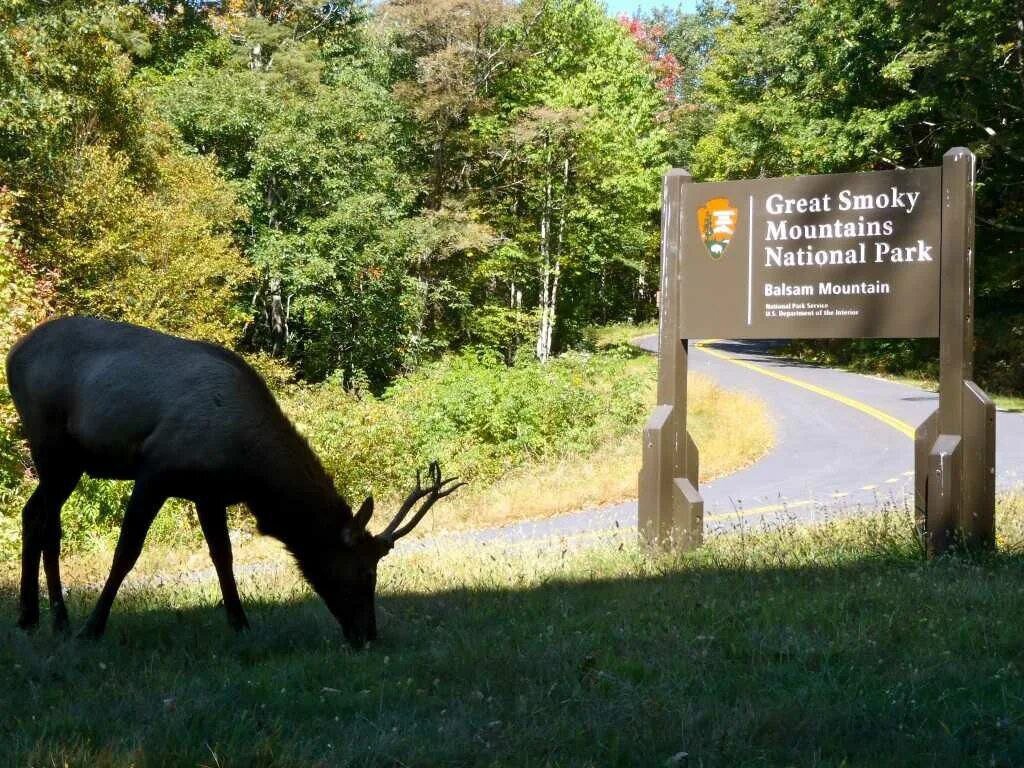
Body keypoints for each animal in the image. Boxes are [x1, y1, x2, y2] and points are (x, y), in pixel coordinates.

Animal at [6, 317, 462, 651]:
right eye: (365, 572)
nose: (368, 635)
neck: (249, 470)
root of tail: (13, 354)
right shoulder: (156, 471)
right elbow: (127, 553)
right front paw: (95, 627)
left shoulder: (209, 494)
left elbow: (223, 557)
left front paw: (240, 623)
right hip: (52, 447)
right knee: (44, 519)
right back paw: (55, 619)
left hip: (68, 462)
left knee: (37, 516)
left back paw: (40, 619)